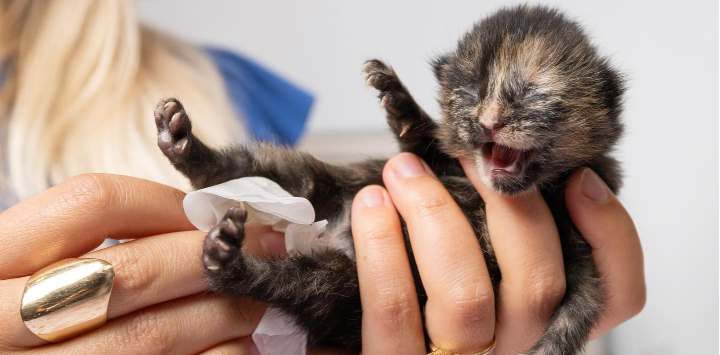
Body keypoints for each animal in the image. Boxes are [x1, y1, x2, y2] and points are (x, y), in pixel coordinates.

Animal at [153, 4, 624, 354]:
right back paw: (185, 146)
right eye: (471, 91)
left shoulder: (581, 240)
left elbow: (578, 310)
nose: (488, 122)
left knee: (295, 284)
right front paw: (399, 100)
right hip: (322, 185)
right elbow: (420, 144)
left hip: (340, 288)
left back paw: (228, 260)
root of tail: (334, 233)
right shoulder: (435, 160)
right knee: (272, 172)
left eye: (529, 92)